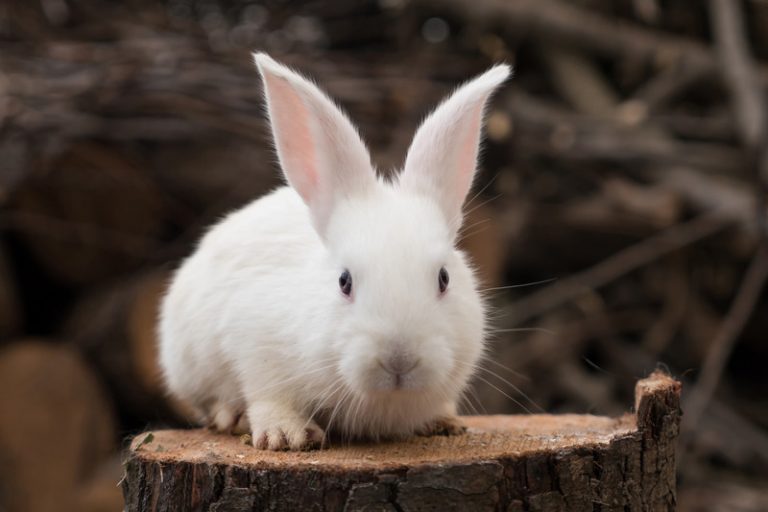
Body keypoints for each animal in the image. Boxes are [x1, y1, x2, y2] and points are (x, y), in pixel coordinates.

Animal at [159, 53, 511, 450]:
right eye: (344, 282)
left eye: (444, 278)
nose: (399, 360)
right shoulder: (254, 346)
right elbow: (269, 397)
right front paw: (286, 436)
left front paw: (444, 420)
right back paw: (230, 417)